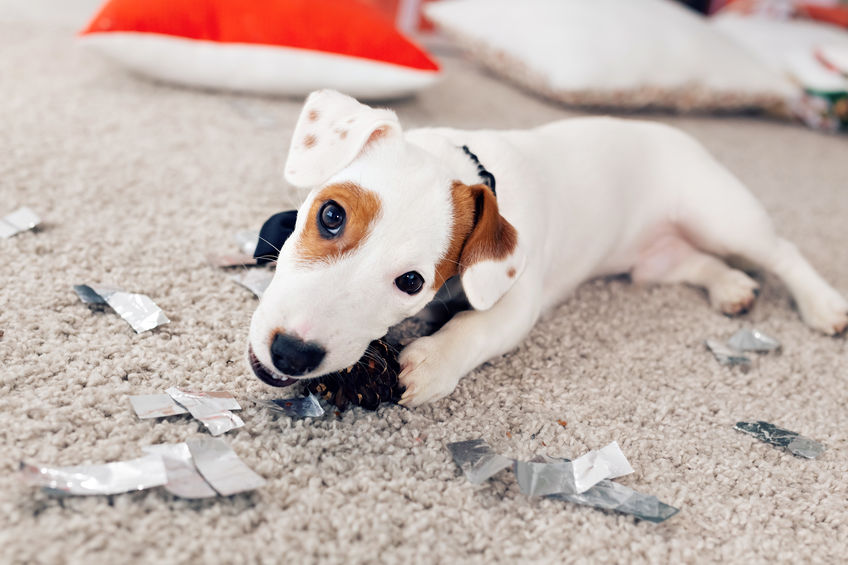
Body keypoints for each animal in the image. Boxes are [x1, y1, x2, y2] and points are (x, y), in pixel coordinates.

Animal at [247, 88, 848, 406]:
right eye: (330, 215)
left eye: (411, 282)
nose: (292, 353)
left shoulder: (519, 301)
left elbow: (476, 327)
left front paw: (432, 361)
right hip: (658, 263)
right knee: (701, 263)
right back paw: (730, 287)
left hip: (721, 216)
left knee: (782, 252)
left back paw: (822, 305)